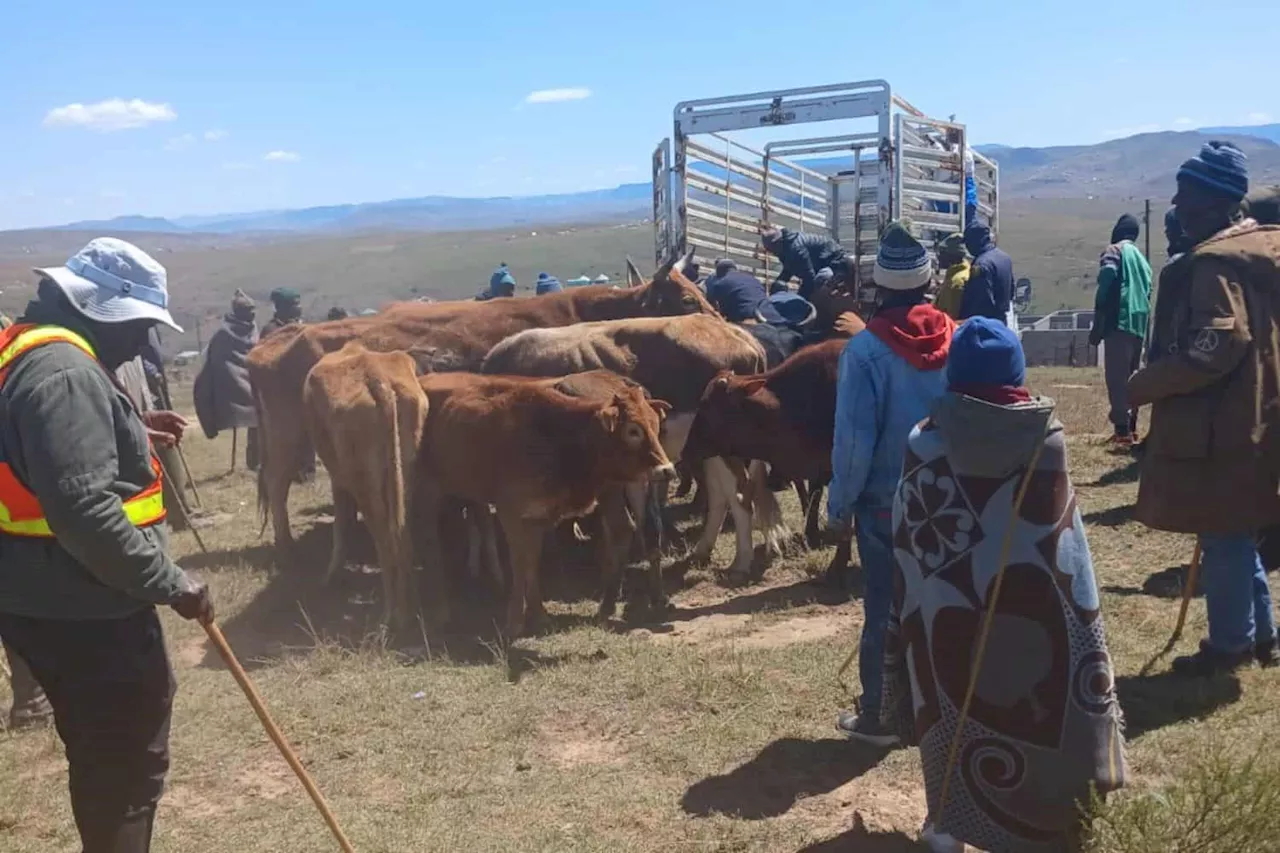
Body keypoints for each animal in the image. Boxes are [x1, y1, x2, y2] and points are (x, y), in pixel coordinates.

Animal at [249, 249, 711, 548]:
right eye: (688, 298)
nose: (719, 318)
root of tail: (275, 340)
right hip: (289, 434)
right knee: (275, 481)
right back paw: (286, 545)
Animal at [300, 340, 430, 630]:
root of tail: (377, 379)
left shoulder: (337, 469)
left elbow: (341, 516)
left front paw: (331, 578)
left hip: (358, 461)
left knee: (383, 535)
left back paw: (392, 616)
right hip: (407, 456)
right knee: (402, 528)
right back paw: (409, 609)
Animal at [419, 368, 680, 635]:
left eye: (655, 425)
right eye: (632, 430)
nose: (667, 470)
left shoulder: (535, 517)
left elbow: (530, 561)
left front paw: (535, 615)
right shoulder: (512, 513)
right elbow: (521, 561)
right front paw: (517, 620)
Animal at [478, 308, 788, 573]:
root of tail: (737, 334)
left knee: (739, 495)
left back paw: (742, 561)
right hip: (709, 450)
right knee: (720, 495)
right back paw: (703, 549)